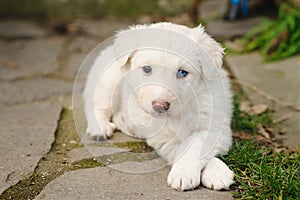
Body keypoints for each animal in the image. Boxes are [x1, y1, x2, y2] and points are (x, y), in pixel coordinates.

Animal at [84, 21, 234, 191]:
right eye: (147, 69)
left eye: (182, 72)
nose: (160, 106)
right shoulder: (164, 138)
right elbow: (184, 147)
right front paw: (186, 173)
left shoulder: (216, 124)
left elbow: (196, 144)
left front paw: (215, 172)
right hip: (108, 80)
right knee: (95, 104)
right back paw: (99, 128)